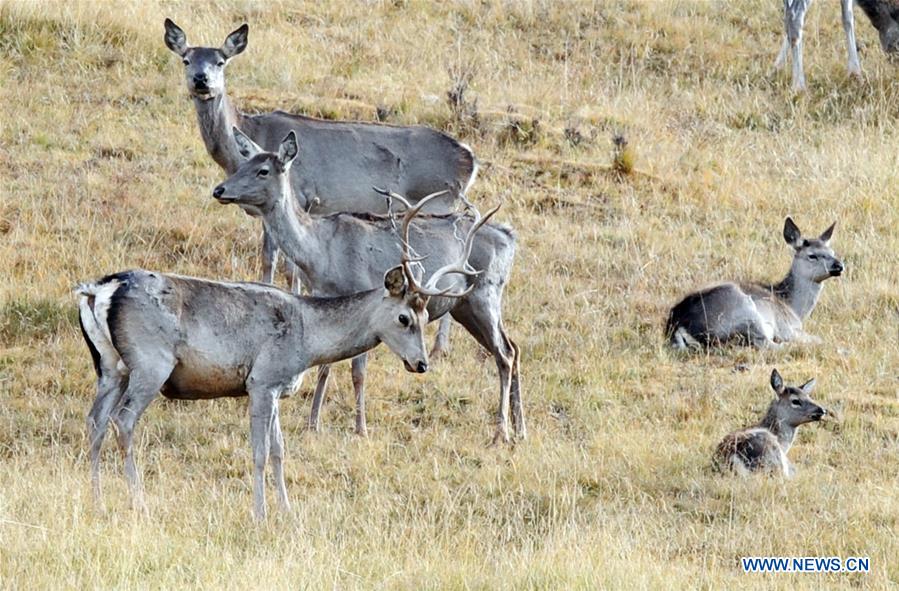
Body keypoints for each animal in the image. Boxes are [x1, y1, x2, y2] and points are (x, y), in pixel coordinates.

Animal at [75, 197, 486, 520]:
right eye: (404, 318)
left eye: (424, 315)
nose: (421, 364)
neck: (307, 339)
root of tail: (98, 290)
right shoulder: (263, 380)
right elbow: (259, 451)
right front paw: (259, 513)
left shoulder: (275, 388)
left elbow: (278, 451)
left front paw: (287, 511)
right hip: (151, 362)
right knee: (123, 421)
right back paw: (138, 501)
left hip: (111, 366)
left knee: (95, 420)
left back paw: (97, 499)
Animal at [162, 18, 478, 358]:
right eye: (186, 59)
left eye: (221, 61)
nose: (201, 80)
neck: (245, 138)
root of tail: (470, 159)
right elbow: (272, 259)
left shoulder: (301, 195)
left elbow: (283, 263)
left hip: (436, 204)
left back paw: (440, 346)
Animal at [214, 130, 524, 444]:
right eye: (242, 163)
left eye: (263, 170)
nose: (219, 190)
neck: (321, 253)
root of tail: (509, 238)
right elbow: (325, 365)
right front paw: (313, 423)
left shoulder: (365, 296)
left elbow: (357, 372)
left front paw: (360, 427)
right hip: (465, 306)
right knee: (513, 346)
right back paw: (519, 428)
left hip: (485, 295)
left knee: (505, 353)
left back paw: (501, 432)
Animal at [668, 217, 844, 350]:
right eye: (812, 255)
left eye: (832, 252)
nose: (839, 265)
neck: (793, 307)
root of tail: (679, 326)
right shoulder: (786, 328)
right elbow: (817, 339)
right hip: (745, 313)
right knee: (769, 345)